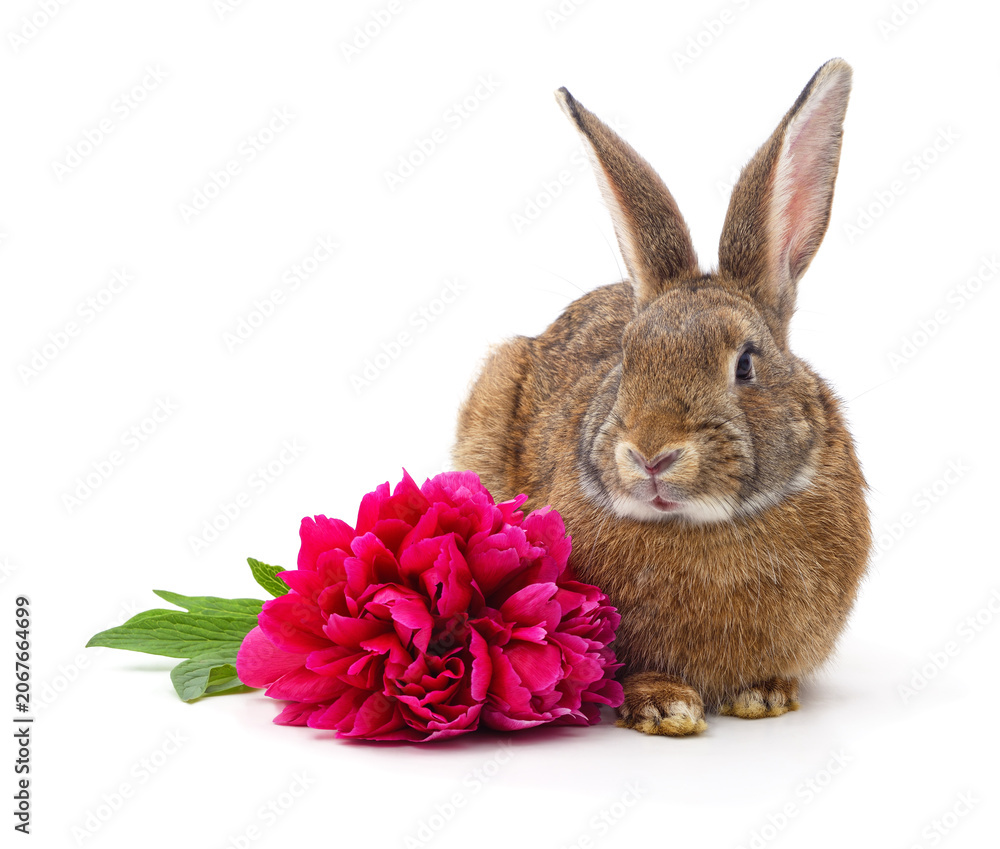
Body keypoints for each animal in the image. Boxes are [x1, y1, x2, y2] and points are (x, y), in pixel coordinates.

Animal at [452, 58, 871, 736]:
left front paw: (764, 696)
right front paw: (665, 706)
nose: (651, 454)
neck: (700, 525)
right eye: (626, 360)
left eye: (746, 365)